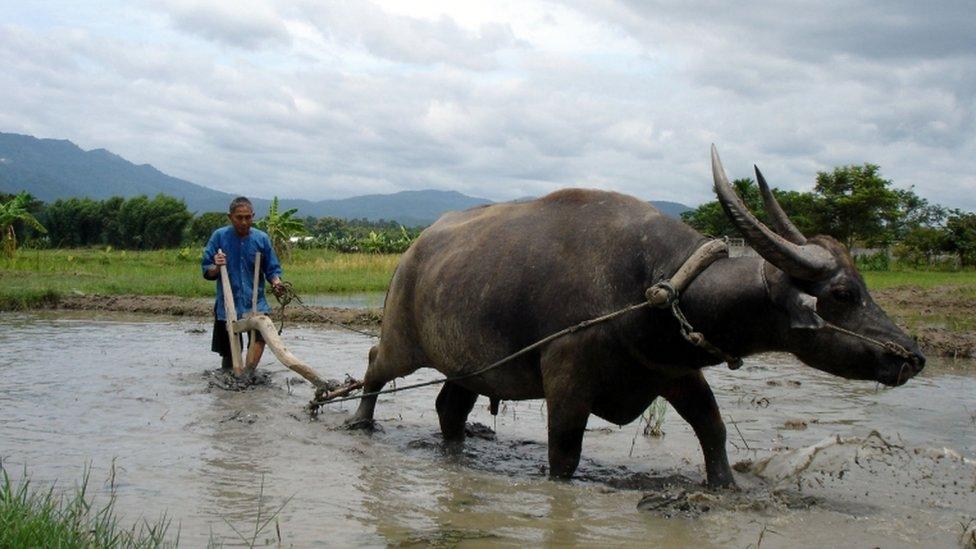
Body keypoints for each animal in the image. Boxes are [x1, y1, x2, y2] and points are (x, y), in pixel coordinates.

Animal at [346, 148, 928, 486]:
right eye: (844, 293)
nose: (914, 356)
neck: (655, 284)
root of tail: (412, 251)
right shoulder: (567, 378)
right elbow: (565, 453)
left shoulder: (675, 370)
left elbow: (713, 429)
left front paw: (726, 487)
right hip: (402, 342)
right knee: (375, 364)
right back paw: (360, 422)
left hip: (471, 365)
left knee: (449, 406)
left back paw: (456, 450)